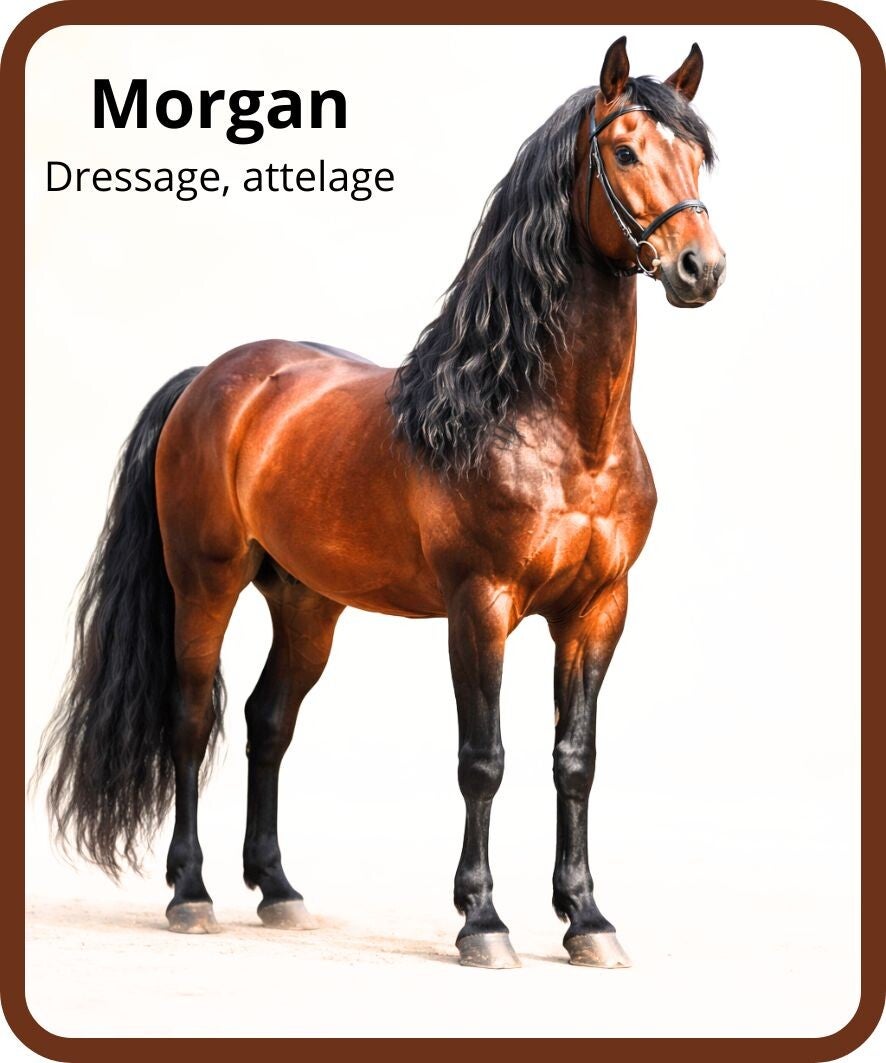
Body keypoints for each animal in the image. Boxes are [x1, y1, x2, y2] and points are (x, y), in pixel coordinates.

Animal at [37, 36, 725, 969]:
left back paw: (279, 890)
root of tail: (211, 378)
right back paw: (191, 893)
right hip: (204, 583)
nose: (701, 268)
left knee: (268, 722)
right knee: (191, 716)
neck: (555, 427)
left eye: (699, 156)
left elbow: (574, 759)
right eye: (623, 152)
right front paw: (484, 922)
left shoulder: (598, 609)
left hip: (308, 604)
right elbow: (484, 758)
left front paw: (588, 920)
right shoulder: (481, 604)